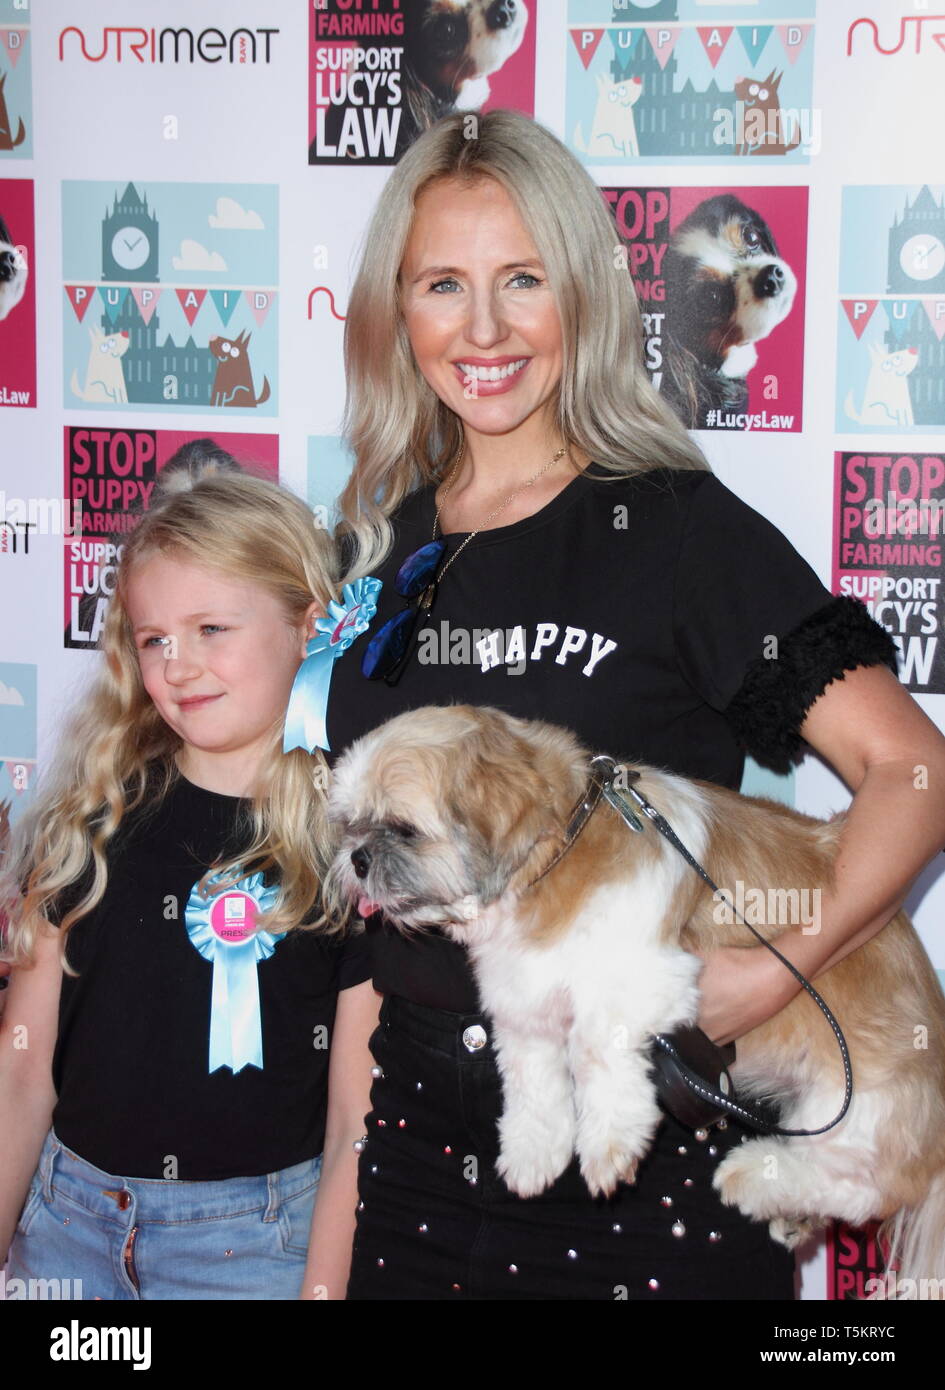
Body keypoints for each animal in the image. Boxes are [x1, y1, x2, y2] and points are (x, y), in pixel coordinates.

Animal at [325, 706, 945, 1289]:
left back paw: (753, 1174)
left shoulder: (645, 977)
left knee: (865, 1184)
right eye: (352, 826)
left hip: (852, 1104)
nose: (357, 858)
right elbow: (533, 1086)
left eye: (403, 828)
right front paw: (533, 1153)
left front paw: (609, 1142)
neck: (556, 859)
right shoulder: (525, 999)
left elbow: (594, 1052)